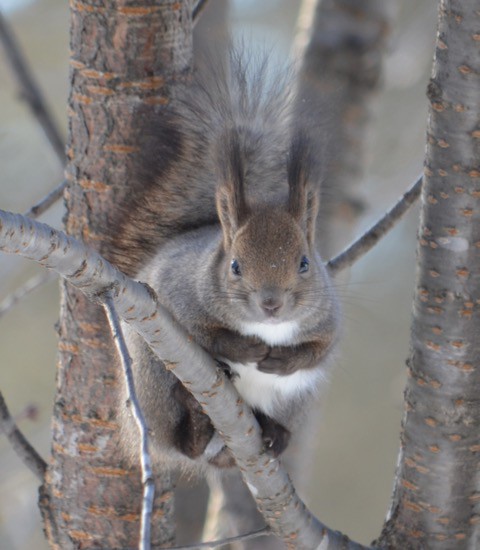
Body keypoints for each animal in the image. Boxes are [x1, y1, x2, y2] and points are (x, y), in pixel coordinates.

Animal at [109, 49, 342, 474]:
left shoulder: (329, 318)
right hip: (152, 381)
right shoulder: (176, 291)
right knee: (184, 444)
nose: (271, 304)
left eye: (305, 263)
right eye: (235, 266)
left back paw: (274, 434)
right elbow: (204, 333)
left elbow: (320, 349)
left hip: (293, 402)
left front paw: (283, 360)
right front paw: (245, 350)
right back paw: (195, 423)